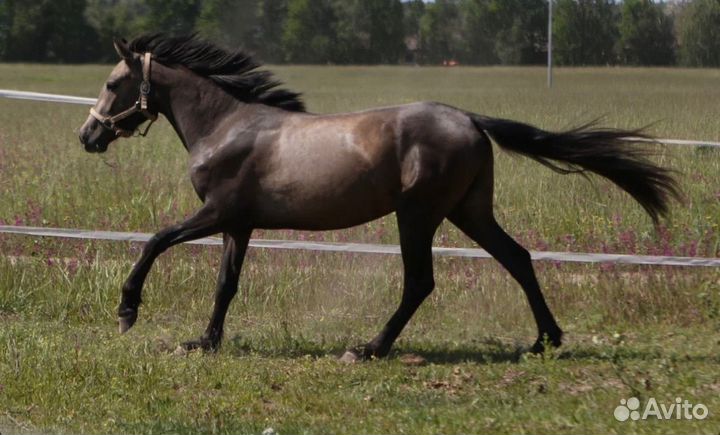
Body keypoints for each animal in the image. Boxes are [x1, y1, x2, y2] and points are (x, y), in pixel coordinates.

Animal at [78, 34, 679, 361]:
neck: (227, 125)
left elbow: (156, 240)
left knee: (421, 281)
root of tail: (468, 119)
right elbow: (226, 284)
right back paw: (544, 341)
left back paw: (369, 349)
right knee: (518, 257)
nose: (88, 136)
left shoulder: (217, 212)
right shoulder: (239, 224)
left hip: (419, 214)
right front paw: (204, 342)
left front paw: (127, 311)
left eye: (110, 84)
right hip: (469, 211)